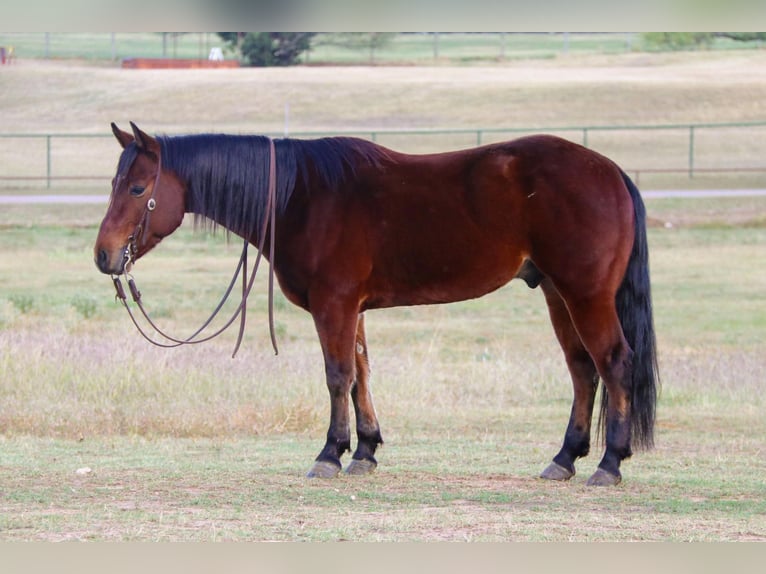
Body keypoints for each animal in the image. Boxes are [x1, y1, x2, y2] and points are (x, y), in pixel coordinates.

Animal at [96, 124, 660, 488]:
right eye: (114, 183)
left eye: (138, 187)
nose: (104, 255)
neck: (300, 197)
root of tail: (611, 172)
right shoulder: (354, 309)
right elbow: (361, 372)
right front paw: (365, 450)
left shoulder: (335, 305)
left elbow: (337, 375)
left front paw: (330, 453)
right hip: (556, 294)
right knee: (582, 370)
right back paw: (564, 458)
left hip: (584, 296)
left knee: (614, 364)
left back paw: (609, 463)